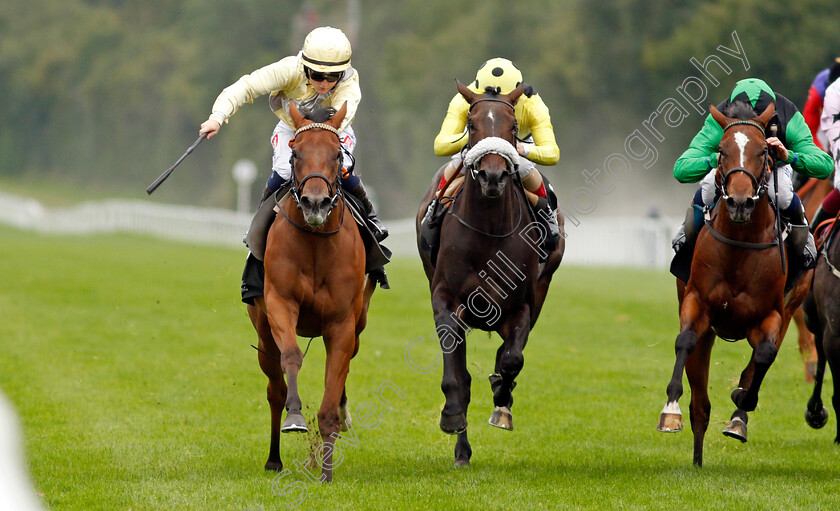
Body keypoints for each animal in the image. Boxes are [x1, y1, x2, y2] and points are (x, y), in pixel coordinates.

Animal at [248, 101, 376, 484]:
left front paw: (327, 473)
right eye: (295, 154)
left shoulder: (342, 323)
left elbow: (333, 387)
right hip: (262, 333)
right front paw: (295, 418)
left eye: (337, 154)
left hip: (358, 324)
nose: (315, 203)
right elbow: (292, 357)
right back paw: (274, 458)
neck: (316, 245)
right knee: (274, 389)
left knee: (346, 364)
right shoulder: (279, 304)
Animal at [416, 80, 564, 468]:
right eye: (472, 124)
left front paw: (502, 397)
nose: (493, 176)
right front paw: (452, 415)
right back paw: (462, 450)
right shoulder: (446, 298)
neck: (488, 231)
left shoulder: (523, 305)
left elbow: (512, 359)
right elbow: (457, 373)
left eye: (512, 128)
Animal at [656, 103, 812, 468]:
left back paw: (738, 415)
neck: (741, 245)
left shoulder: (771, 315)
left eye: (763, 152)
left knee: (761, 360)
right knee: (700, 403)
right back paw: (697, 459)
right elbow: (684, 341)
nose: (740, 202)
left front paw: (742, 406)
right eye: (721, 150)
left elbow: (764, 356)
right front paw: (670, 411)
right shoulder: (697, 303)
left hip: (791, 307)